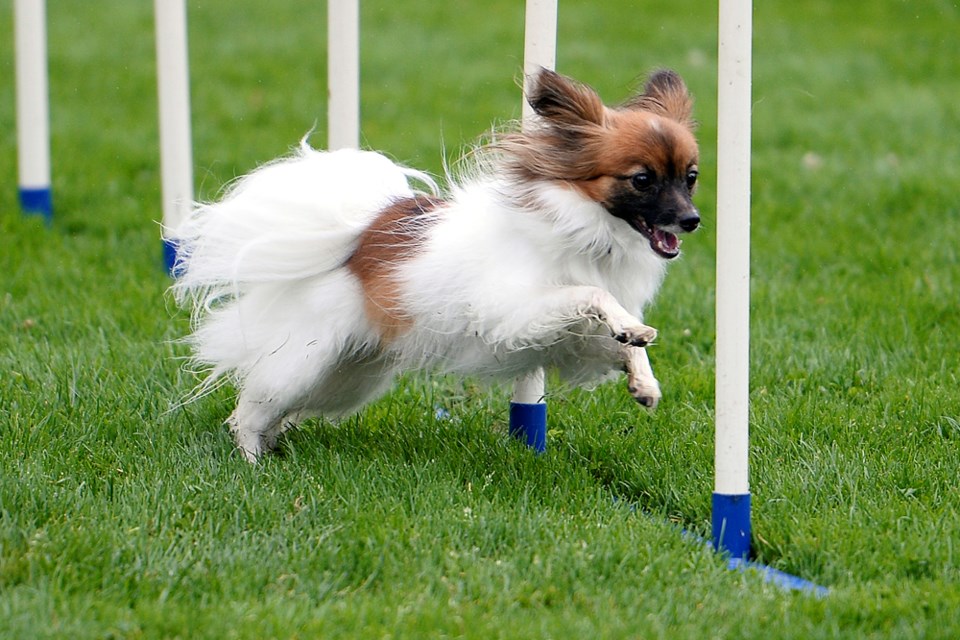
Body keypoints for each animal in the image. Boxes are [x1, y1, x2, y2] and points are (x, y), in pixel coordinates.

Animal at [172, 69, 696, 460]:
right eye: (642, 180)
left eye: (690, 178)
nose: (692, 220)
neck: (590, 231)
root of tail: (359, 236)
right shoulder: (516, 314)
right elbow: (590, 293)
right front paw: (628, 328)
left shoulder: (575, 346)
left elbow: (623, 344)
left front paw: (642, 376)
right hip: (303, 363)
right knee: (247, 412)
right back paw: (254, 464)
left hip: (348, 378)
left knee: (276, 410)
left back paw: (276, 446)